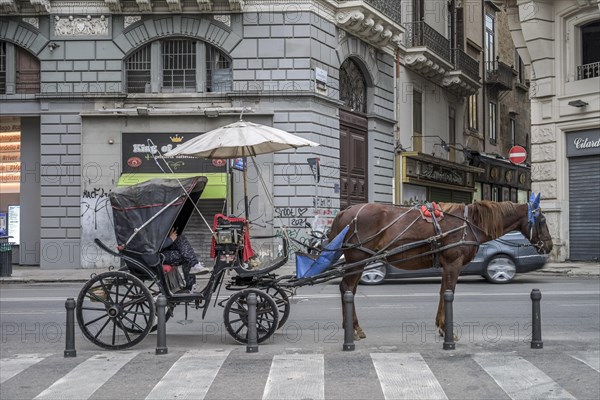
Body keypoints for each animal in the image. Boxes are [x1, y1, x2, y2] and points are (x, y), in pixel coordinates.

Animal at [328, 195, 552, 340]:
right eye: (542, 220)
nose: (549, 246)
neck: (470, 223)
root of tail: (345, 212)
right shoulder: (453, 264)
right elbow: (448, 292)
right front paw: (447, 329)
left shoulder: (447, 265)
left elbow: (443, 292)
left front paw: (441, 326)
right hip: (358, 259)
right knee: (347, 289)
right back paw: (353, 328)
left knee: (348, 290)